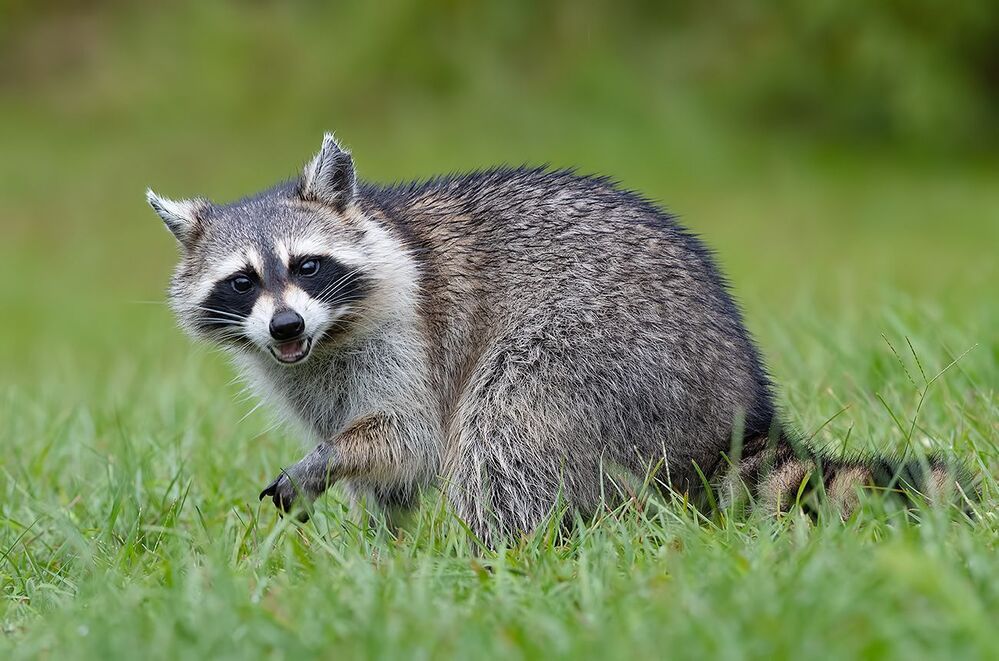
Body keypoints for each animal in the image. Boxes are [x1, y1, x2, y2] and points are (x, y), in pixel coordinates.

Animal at [148, 133, 962, 542]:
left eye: (307, 266)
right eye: (242, 282)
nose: (285, 324)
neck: (326, 337)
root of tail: (736, 409)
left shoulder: (410, 330)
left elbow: (410, 434)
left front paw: (336, 463)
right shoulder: (305, 372)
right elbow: (388, 468)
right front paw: (382, 539)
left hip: (599, 357)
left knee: (502, 433)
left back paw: (496, 553)